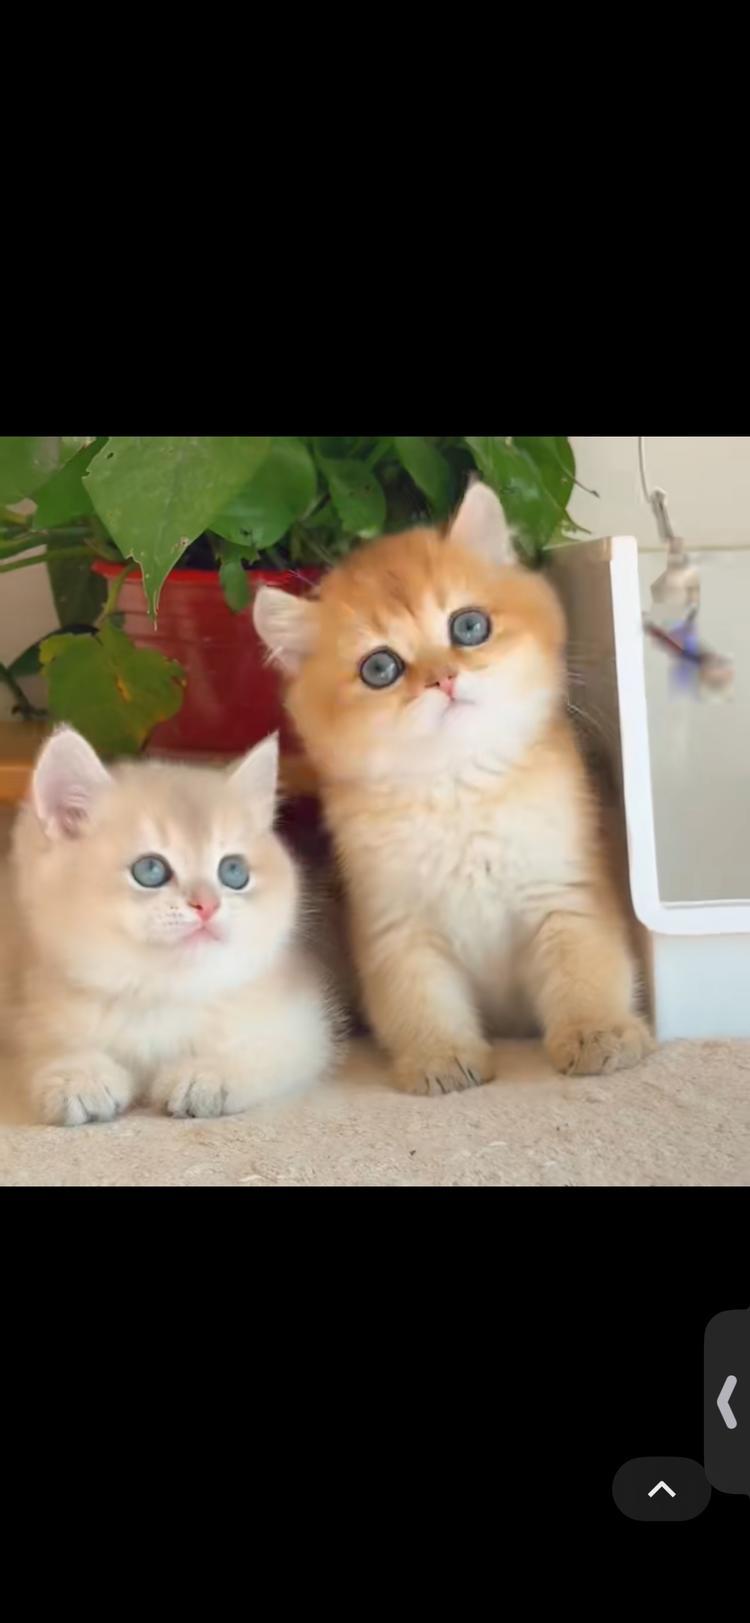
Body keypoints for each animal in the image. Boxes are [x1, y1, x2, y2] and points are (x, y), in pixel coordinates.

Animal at [7, 727, 337, 1125]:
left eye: (233, 871)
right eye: (150, 869)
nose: (207, 905)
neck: (159, 992)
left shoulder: (301, 1026)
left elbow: (264, 1049)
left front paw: (207, 1074)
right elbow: (42, 1045)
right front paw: (77, 1075)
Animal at [253, 481, 652, 1096]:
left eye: (468, 627)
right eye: (380, 668)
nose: (442, 679)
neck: (458, 790)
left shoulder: (566, 894)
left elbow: (587, 968)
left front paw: (597, 1033)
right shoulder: (397, 926)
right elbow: (419, 1000)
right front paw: (440, 1056)